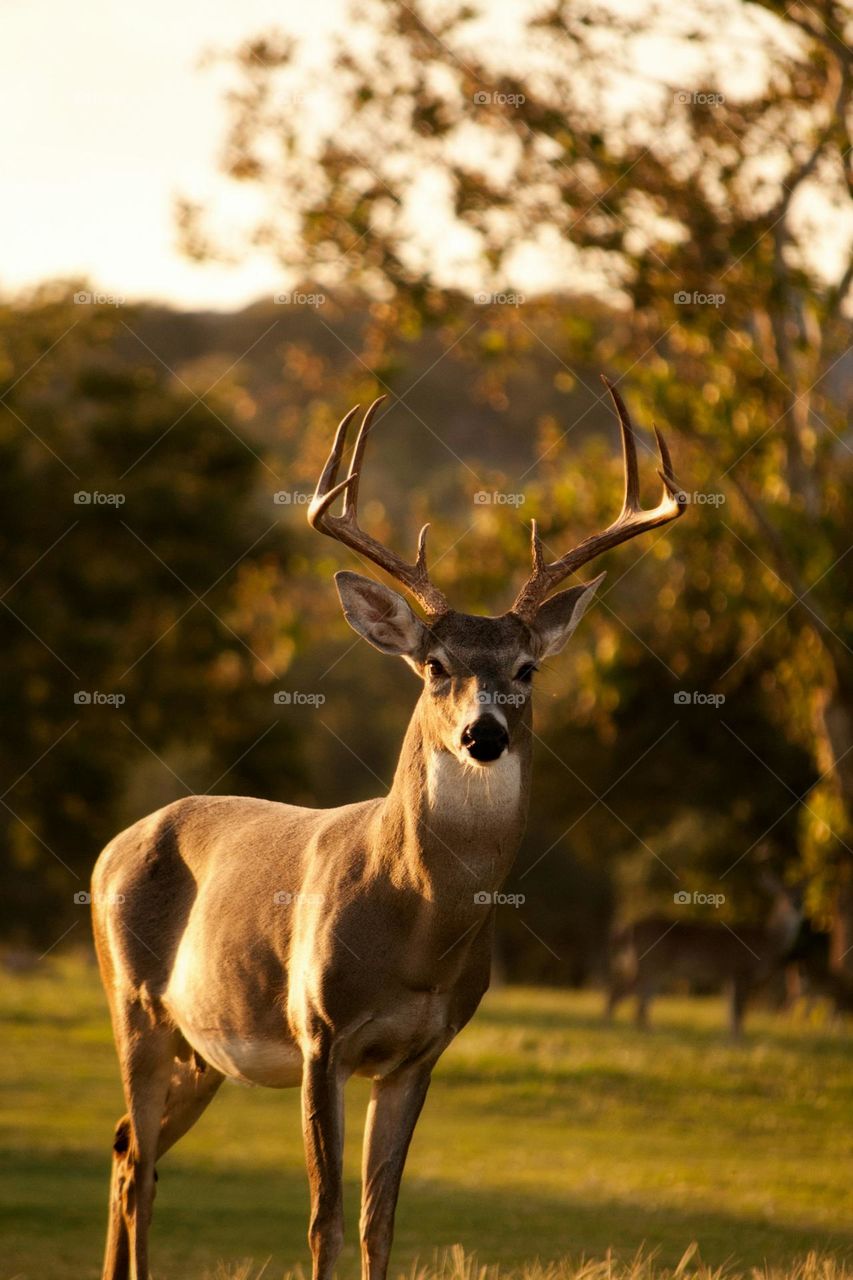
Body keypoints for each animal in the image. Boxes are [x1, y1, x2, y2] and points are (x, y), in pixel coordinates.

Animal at [91, 378, 683, 1280]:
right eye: (435, 666)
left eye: (525, 669)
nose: (483, 734)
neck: (416, 930)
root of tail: (110, 849)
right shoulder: (319, 1033)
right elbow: (324, 1220)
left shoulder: (418, 1054)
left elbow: (379, 1221)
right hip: (133, 1003)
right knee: (140, 1163)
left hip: (202, 1046)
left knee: (128, 1149)